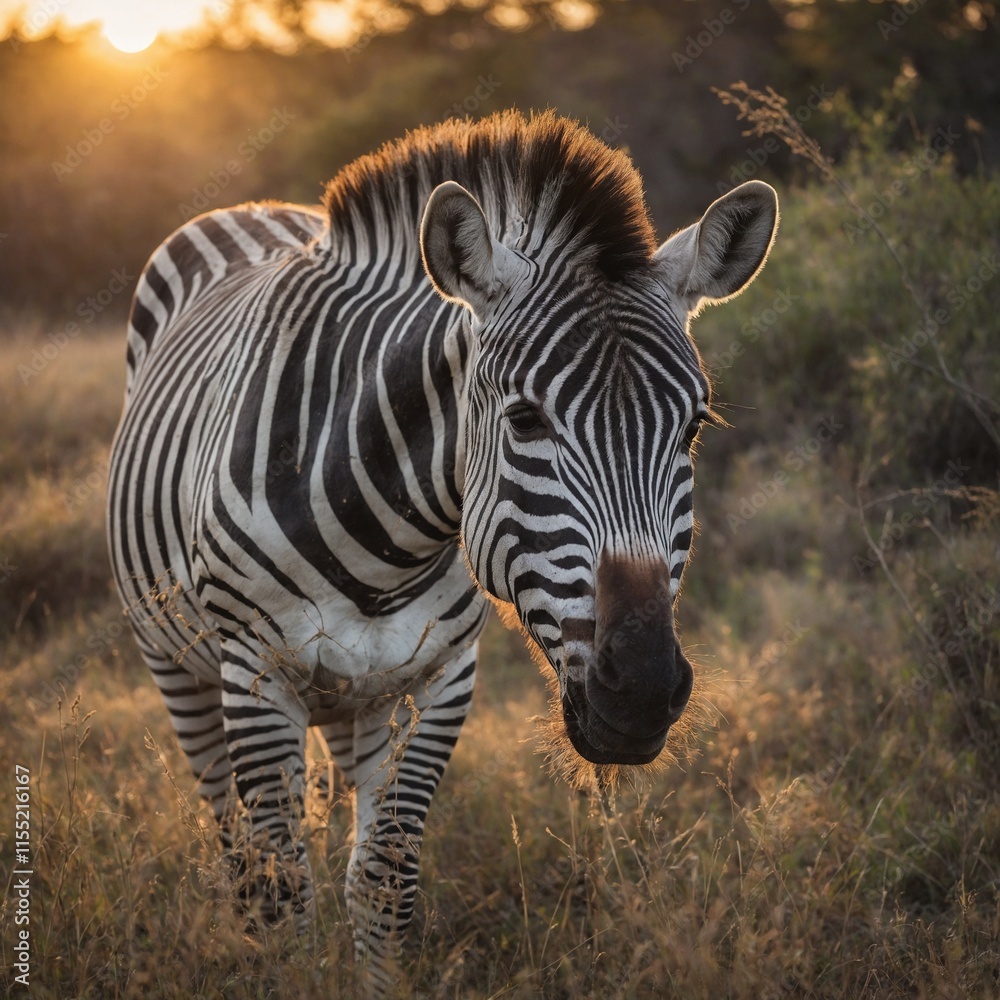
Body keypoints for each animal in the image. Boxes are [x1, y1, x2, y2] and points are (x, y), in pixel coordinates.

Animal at [107, 110, 777, 992]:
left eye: (692, 427)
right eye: (525, 420)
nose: (638, 691)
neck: (386, 542)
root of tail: (250, 210)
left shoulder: (441, 676)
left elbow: (383, 879)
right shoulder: (255, 675)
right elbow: (283, 891)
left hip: (358, 697)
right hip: (177, 666)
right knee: (240, 854)